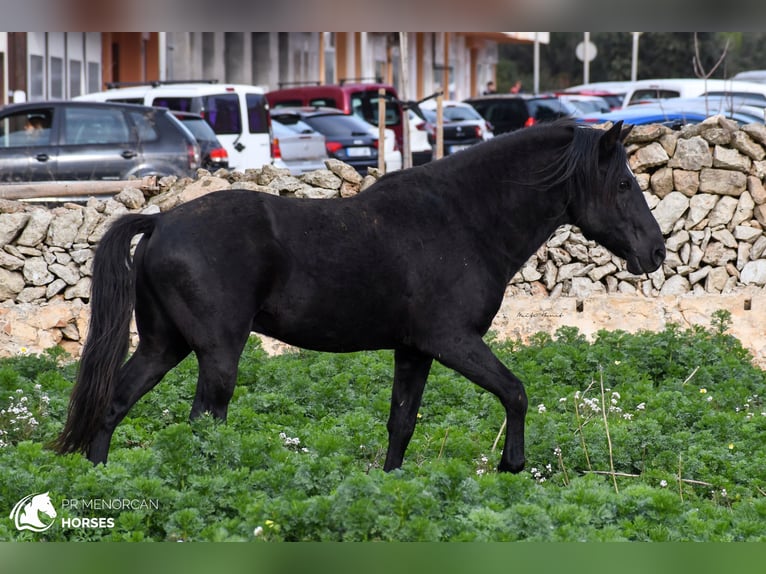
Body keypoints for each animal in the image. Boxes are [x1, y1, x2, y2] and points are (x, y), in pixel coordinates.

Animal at [55, 120, 664, 472]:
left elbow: (402, 423)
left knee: (114, 404)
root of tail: (161, 221)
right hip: (217, 353)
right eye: (624, 184)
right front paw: (512, 465)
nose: (656, 252)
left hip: (165, 345)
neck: (460, 220)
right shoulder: (452, 340)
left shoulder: (415, 350)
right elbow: (516, 391)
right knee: (204, 421)